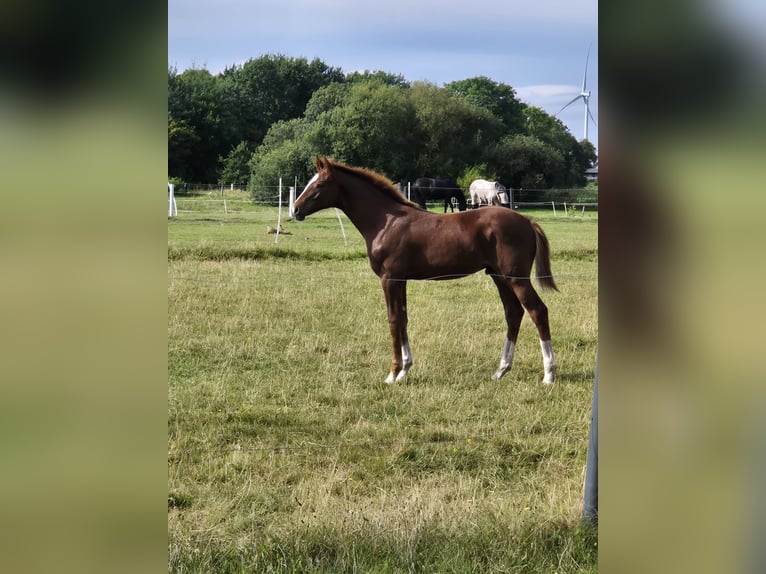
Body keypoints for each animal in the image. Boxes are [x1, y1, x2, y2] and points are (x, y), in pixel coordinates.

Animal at [293, 157, 558, 385]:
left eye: (320, 183)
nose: (295, 210)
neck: (385, 222)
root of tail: (527, 221)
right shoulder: (401, 280)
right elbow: (403, 319)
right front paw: (404, 370)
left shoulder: (389, 279)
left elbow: (393, 320)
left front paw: (392, 374)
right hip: (499, 277)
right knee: (513, 313)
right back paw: (501, 370)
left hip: (516, 278)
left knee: (538, 311)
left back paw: (549, 373)